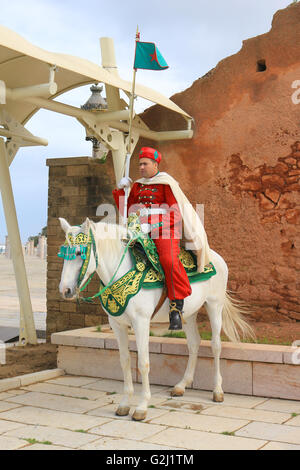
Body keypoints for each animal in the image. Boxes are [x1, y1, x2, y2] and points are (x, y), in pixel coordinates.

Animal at [58, 218, 253, 420]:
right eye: (63, 254)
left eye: (79, 252)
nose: (65, 290)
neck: (122, 271)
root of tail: (214, 256)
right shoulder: (117, 325)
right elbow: (125, 361)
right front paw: (125, 404)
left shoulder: (141, 322)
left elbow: (143, 362)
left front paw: (142, 406)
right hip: (189, 314)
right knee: (194, 344)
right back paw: (181, 385)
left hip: (214, 305)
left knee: (215, 345)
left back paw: (217, 390)